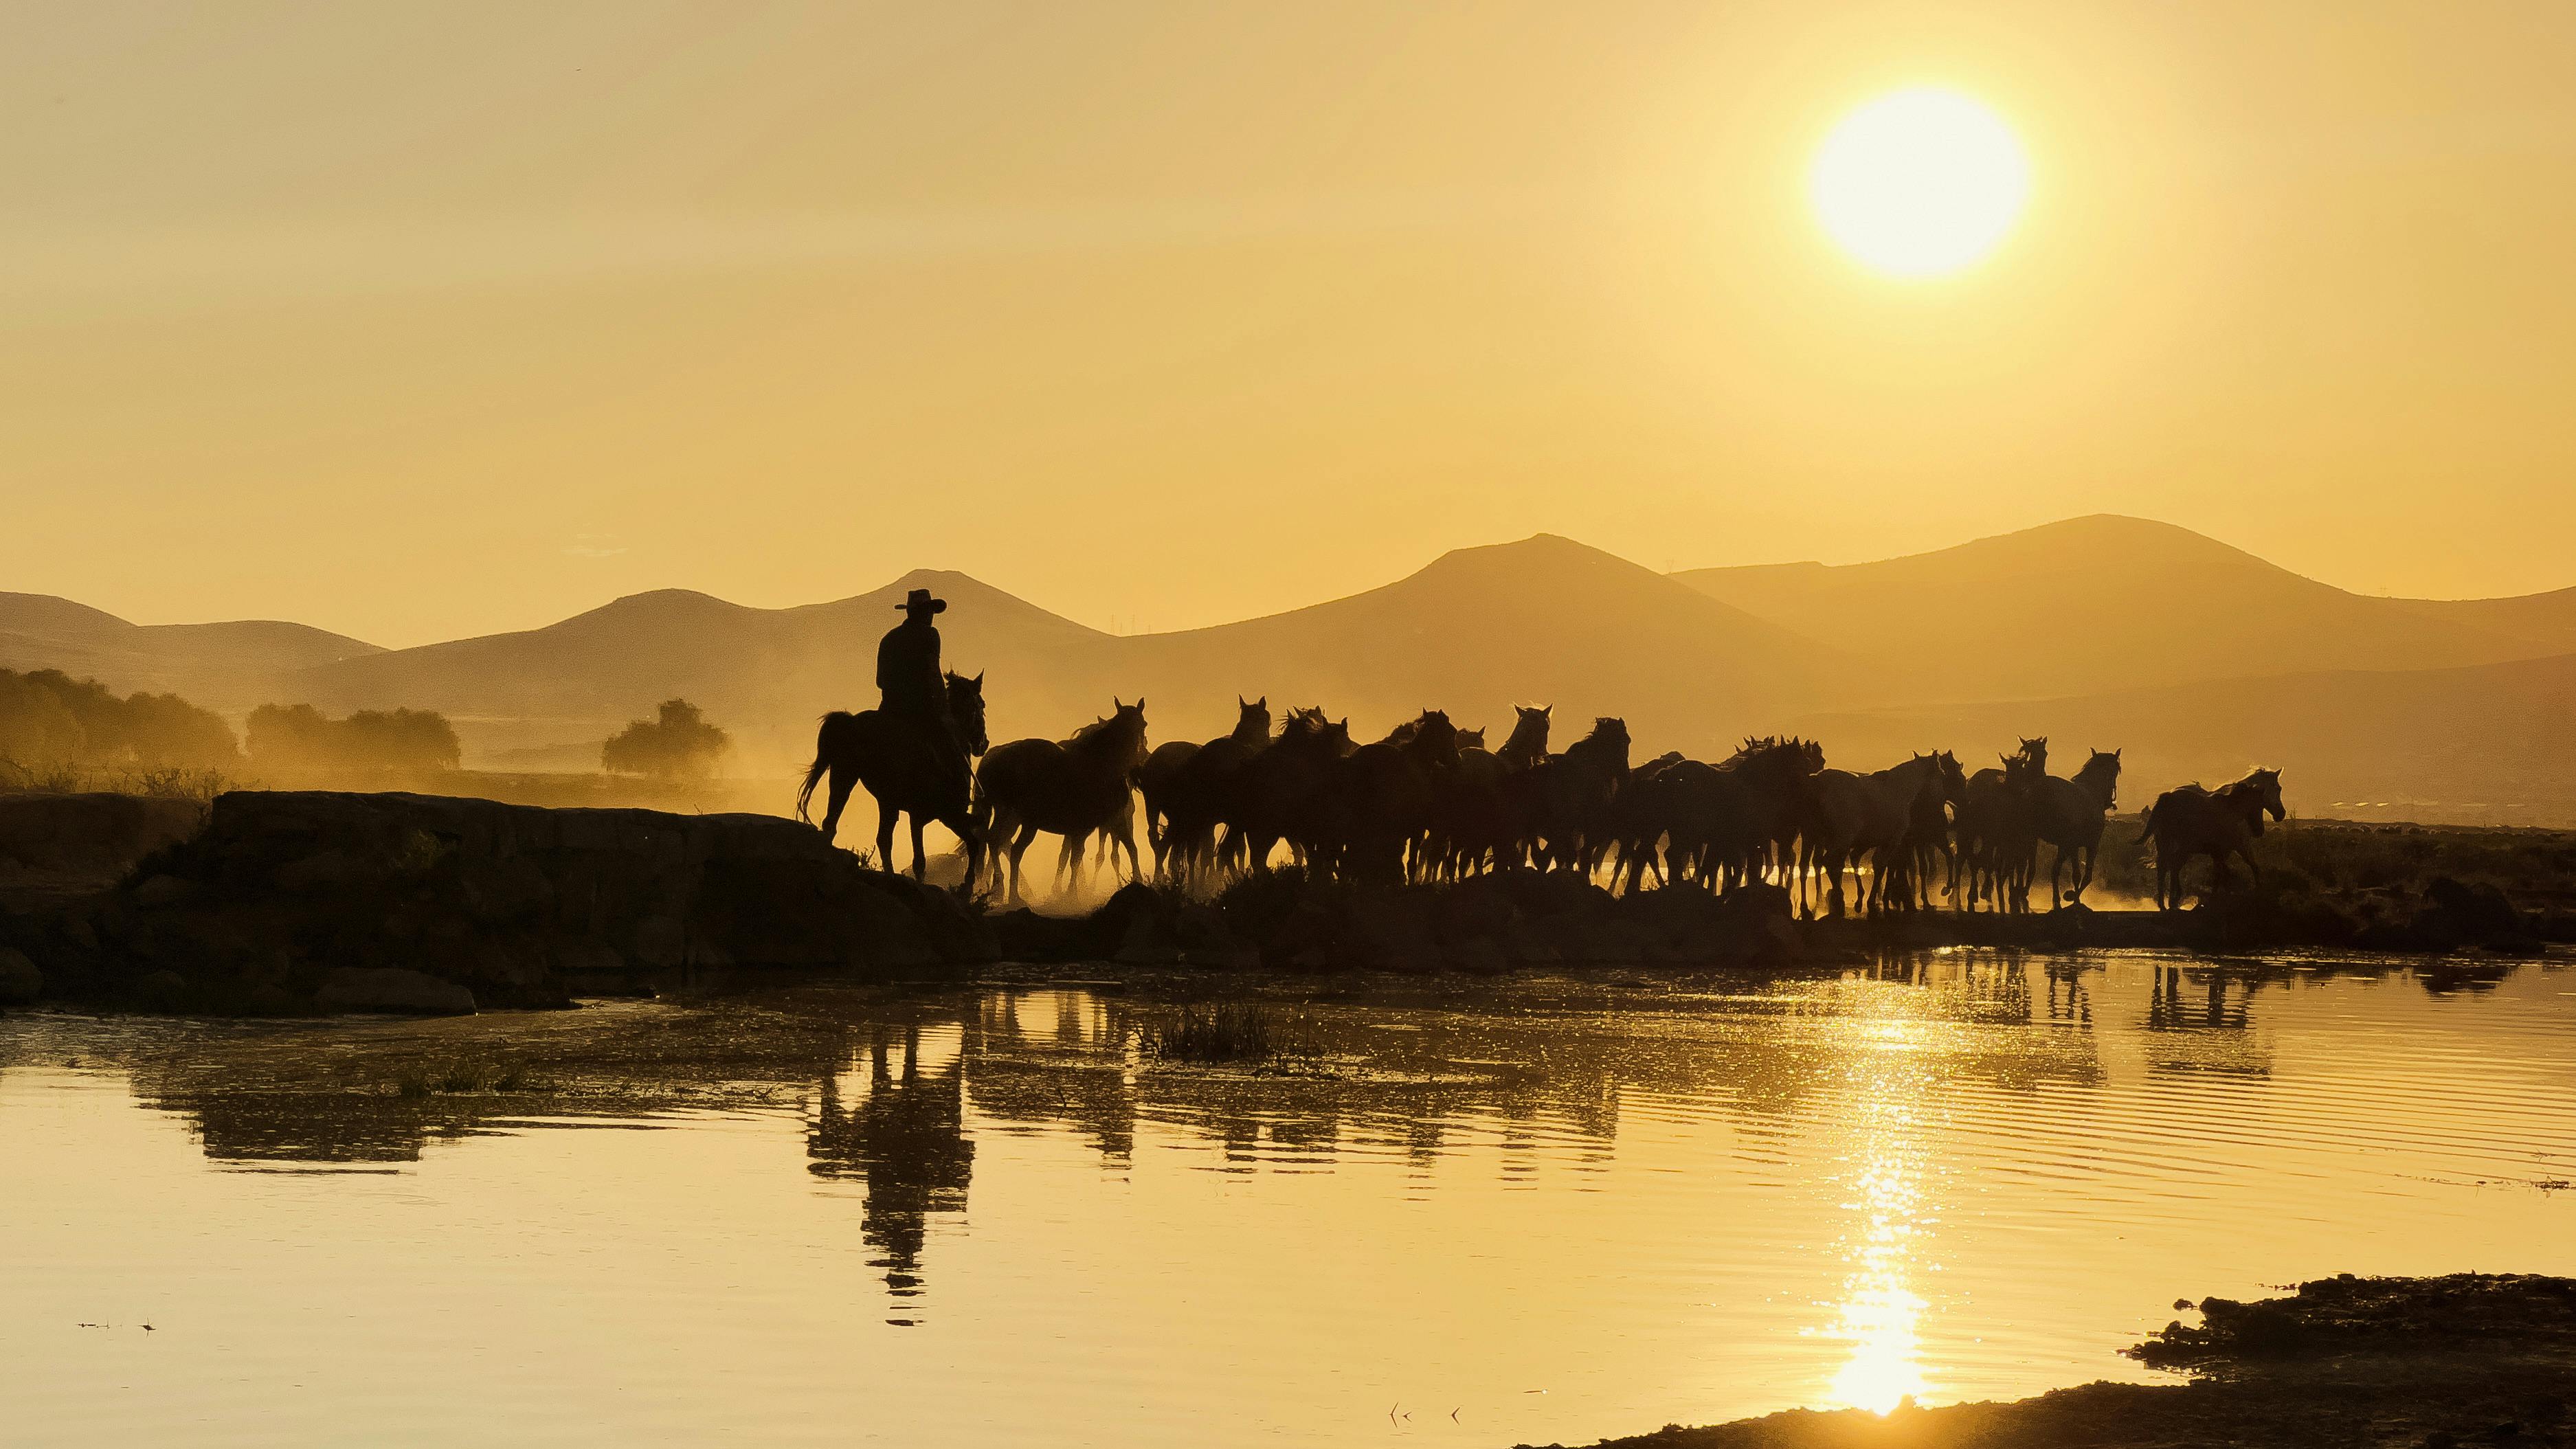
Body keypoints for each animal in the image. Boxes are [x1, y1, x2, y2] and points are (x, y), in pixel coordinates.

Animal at [796, 671, 989, 882]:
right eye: (981, 705)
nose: (984, 743)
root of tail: (851, 721)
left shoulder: (928, 814)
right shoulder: (941, 814)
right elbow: (932, 857)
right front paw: (967, 884)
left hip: (849, 779)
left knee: (844, 827)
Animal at [973, 698, 1152, 905]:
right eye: (1144, 725)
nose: (1142, 757)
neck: (1102, 763)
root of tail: (992, 760)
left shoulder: (1090, 827)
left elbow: (1078, 857)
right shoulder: (1106, 822)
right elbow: (1117, 851)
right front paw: (1072, 894)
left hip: (1010, 816)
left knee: (996, 842)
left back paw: (1002, 890)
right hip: (1023, 820)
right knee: (1011, 849)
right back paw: (1011, 894)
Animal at [2031, 749, 2122, 908]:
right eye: (2116, 770)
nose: (2110, 802)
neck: (2093, 792)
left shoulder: (2068, 846)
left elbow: (2058, 871)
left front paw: (2062, 899)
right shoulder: (2089, 844)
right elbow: (2084, 876)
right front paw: (2073, 898)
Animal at [2141, 767, 2285, 911]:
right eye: (2278, 788)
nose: (2281, 814)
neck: (2232, 810)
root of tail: (2167, 797)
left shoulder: (2223, 851)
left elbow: (2224, 871)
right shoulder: (2237, 847)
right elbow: (2242, 869)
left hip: (2170, 845)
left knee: (2167, 867)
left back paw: (2167, 903)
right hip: (2179, 846)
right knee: (2172, 867)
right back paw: (2172, 901)